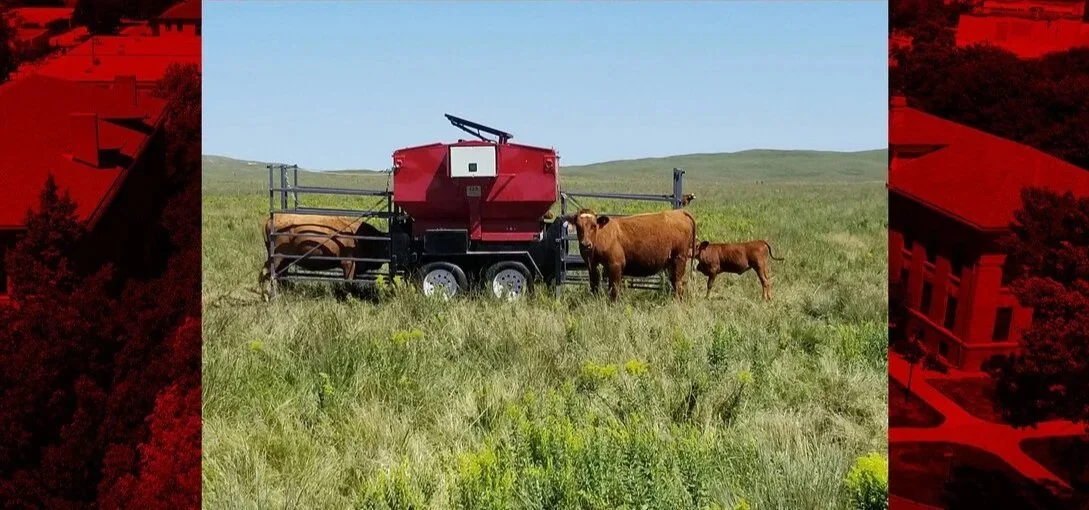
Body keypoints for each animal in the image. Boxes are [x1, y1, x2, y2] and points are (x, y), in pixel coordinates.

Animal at [566, 208, 697, 301]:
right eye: (578, 226)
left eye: (594, 225)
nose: (585, 244)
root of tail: (679, 212)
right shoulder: (592, 267)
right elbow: (594, 287)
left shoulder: (615, 265)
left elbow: (614, 290)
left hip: (679, 259)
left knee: (678, 285)